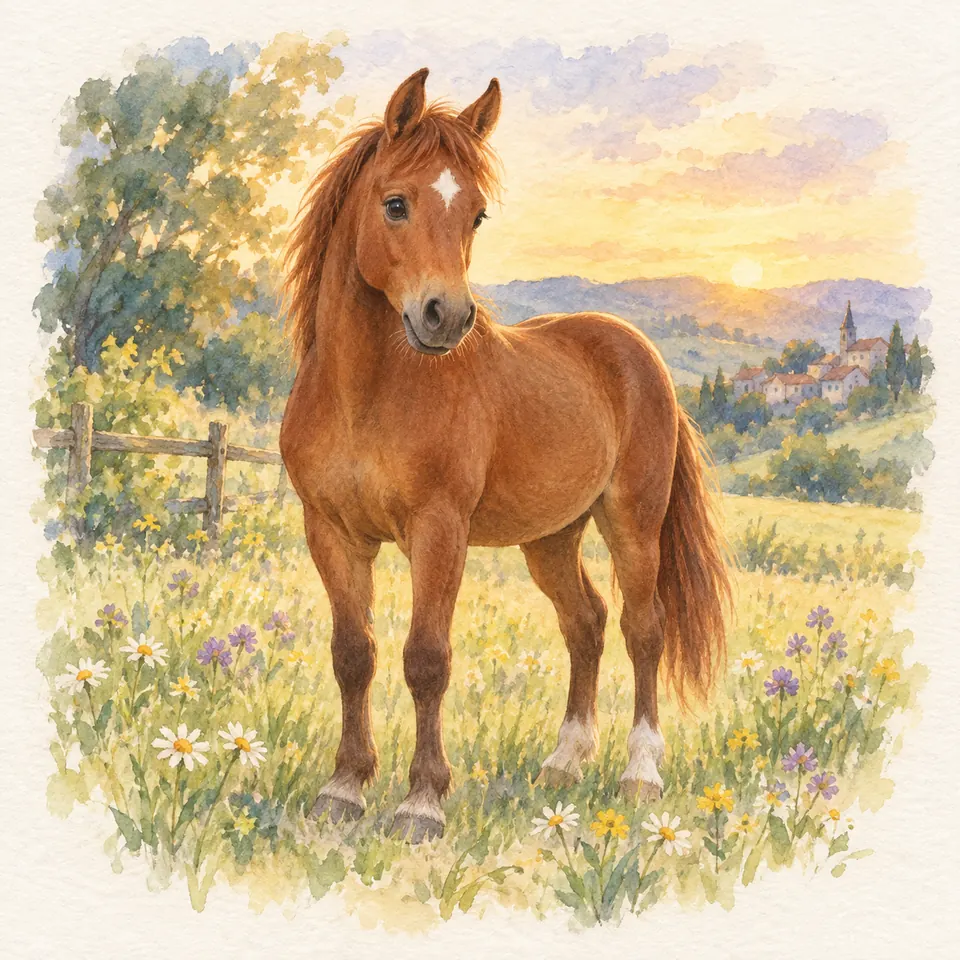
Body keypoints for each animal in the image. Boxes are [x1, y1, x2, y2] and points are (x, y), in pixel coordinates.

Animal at [280, 68, 730, 842]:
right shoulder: (331, 532)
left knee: (644, 630)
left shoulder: (439, 531)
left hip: (633, 525)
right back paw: (564, 763)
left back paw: (640, 773)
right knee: (586, 624)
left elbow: (426, 659)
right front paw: (343, 789)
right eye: (395, 203)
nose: (446, 318)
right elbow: (353, 655)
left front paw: (421, 802)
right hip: (551, 538)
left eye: (478, 216)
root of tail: (637, 352)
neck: (365, 394)